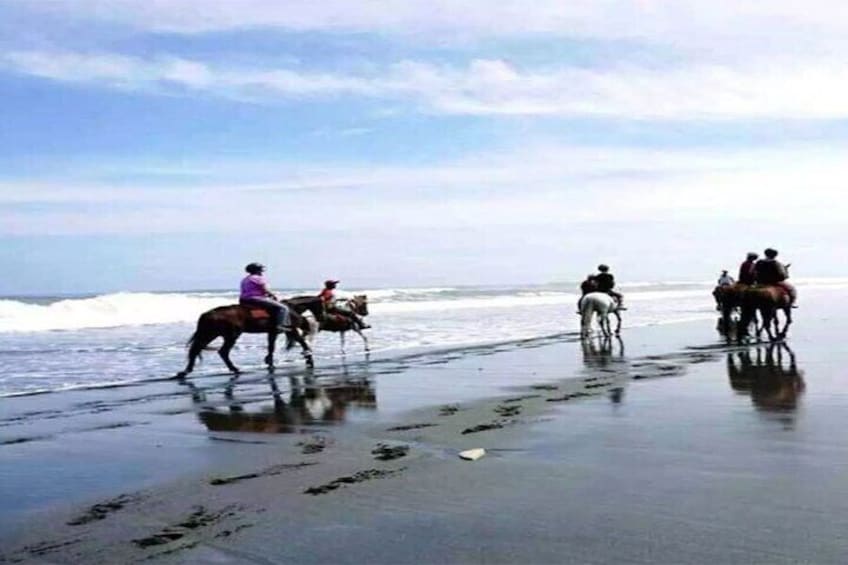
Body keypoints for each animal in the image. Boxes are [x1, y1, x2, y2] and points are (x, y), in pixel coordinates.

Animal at [173, 296, 324, 378]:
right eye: (321, 305)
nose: (321, 317)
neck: (290, 308)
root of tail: (208, 313)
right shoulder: (291, 330)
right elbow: (302, 342)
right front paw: (309, 358)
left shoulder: (273, 332)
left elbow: (271, 347)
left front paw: (269, 362)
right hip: (230, 335)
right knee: (222, 352)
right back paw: (234, 369)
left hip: (211, 333)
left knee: (196, 349)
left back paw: (185, 371)